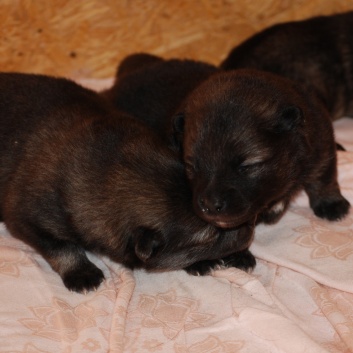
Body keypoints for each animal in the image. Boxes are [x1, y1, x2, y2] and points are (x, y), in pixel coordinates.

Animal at [0, 72, 254, 292]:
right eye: (209, 235)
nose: (249, 229)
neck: (108, 171)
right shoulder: (26, 217)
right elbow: (61, 247)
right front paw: (82, 273)